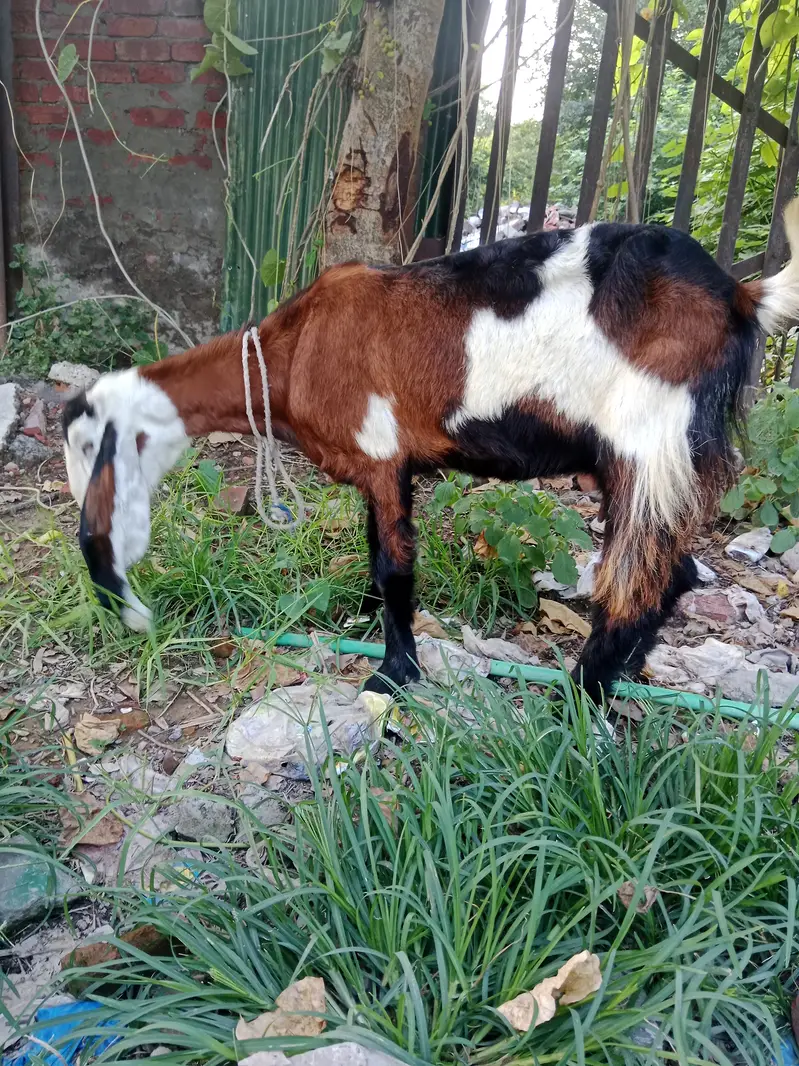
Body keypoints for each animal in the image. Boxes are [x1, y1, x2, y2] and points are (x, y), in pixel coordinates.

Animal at [63, 201, 799, 700]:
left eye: (87, 445)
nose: (119, 604)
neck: (292, 350)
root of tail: (740, 293)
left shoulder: (382, 453)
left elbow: (395, 565)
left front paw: (392, 674)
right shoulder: (378, 468)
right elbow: (374, 550)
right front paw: (364, 622)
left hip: (648, 441)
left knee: (637, 583)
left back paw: (578, 700)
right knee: (674, 573)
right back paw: (618, 679)